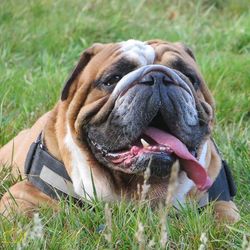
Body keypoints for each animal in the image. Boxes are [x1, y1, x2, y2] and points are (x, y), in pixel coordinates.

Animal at [0, 39, 240, 223]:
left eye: (190, 77)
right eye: (113, 79)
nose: (159, 77)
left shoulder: (221, 202)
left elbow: (225, 219)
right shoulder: (23, 196)